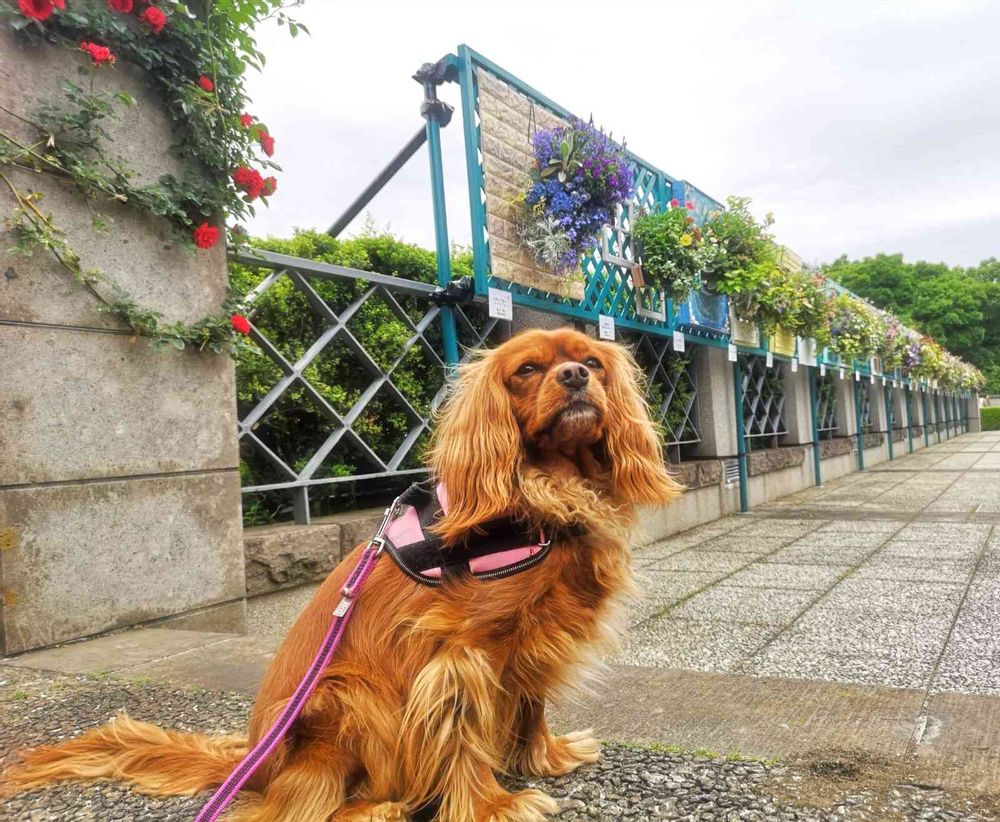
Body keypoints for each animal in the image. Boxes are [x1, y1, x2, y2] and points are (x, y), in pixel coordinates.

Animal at [5, 330, 680, 822]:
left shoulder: (534, 641)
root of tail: (253, 761)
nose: (576, 377)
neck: (546, 492)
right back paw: (377, 809)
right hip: (343, 694)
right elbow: (462, 735)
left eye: (591, 361)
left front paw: (546, 757)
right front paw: (493, 803)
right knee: (295, 809)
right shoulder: (459, 652)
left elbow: (530, 706)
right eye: (528, 370)